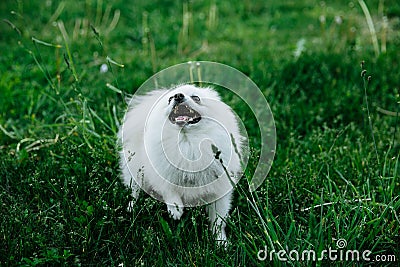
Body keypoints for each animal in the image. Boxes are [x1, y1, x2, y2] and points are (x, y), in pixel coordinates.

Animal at [119, 85, 244, 244]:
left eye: (196, 98)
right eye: (169, 99)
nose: (178, 96)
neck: (188, 142)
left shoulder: (219, 192)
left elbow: (218, 220)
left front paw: (221, 242)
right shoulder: (159, 173)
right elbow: (168, 190)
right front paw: (176, 210)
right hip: (135, 172)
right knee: (134, 191)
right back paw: (132, 208)